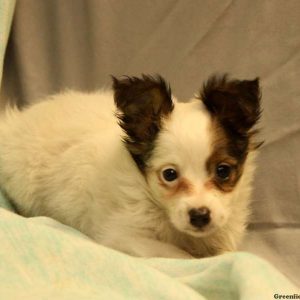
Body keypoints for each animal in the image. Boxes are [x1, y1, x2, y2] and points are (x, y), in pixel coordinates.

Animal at [0, 74, 262, 258]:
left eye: (223, 171)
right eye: (170, 174)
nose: (199, 216)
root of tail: (14, 122)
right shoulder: (122, 235)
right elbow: (179, 255)